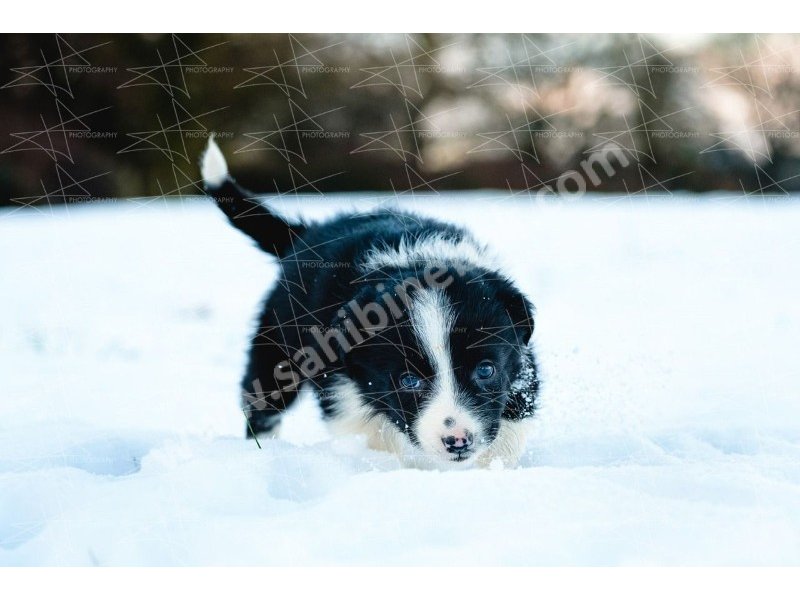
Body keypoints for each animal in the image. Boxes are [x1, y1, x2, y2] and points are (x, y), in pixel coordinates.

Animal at [202, 137, 536, 468]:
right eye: (408, 380)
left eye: (486, 370)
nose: (458, 440)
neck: (416, 262)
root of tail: (307, 234)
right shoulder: (341, 387)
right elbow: (372, 434)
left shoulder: (522, 366)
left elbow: (513, 424)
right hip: (276, 345)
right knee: (262, 402)